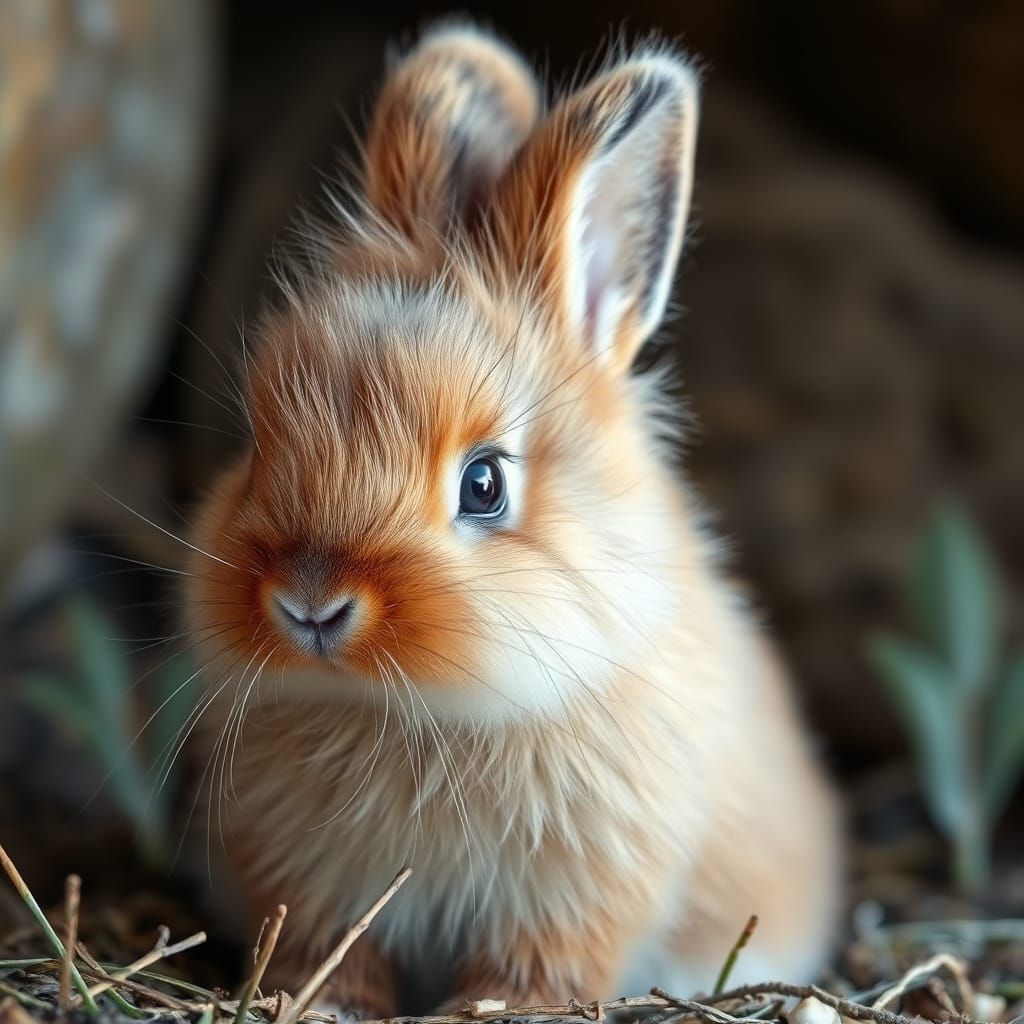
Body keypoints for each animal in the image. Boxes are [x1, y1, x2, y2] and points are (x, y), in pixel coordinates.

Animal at [185, 22, 842, 1020]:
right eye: (259, 445)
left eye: (485, 484)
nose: (309, 606)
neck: (419, 712)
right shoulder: (317, 887)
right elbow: (336, 950)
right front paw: (324, 1002)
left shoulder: (577, 894)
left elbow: (539, 968)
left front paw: (488, 1009)